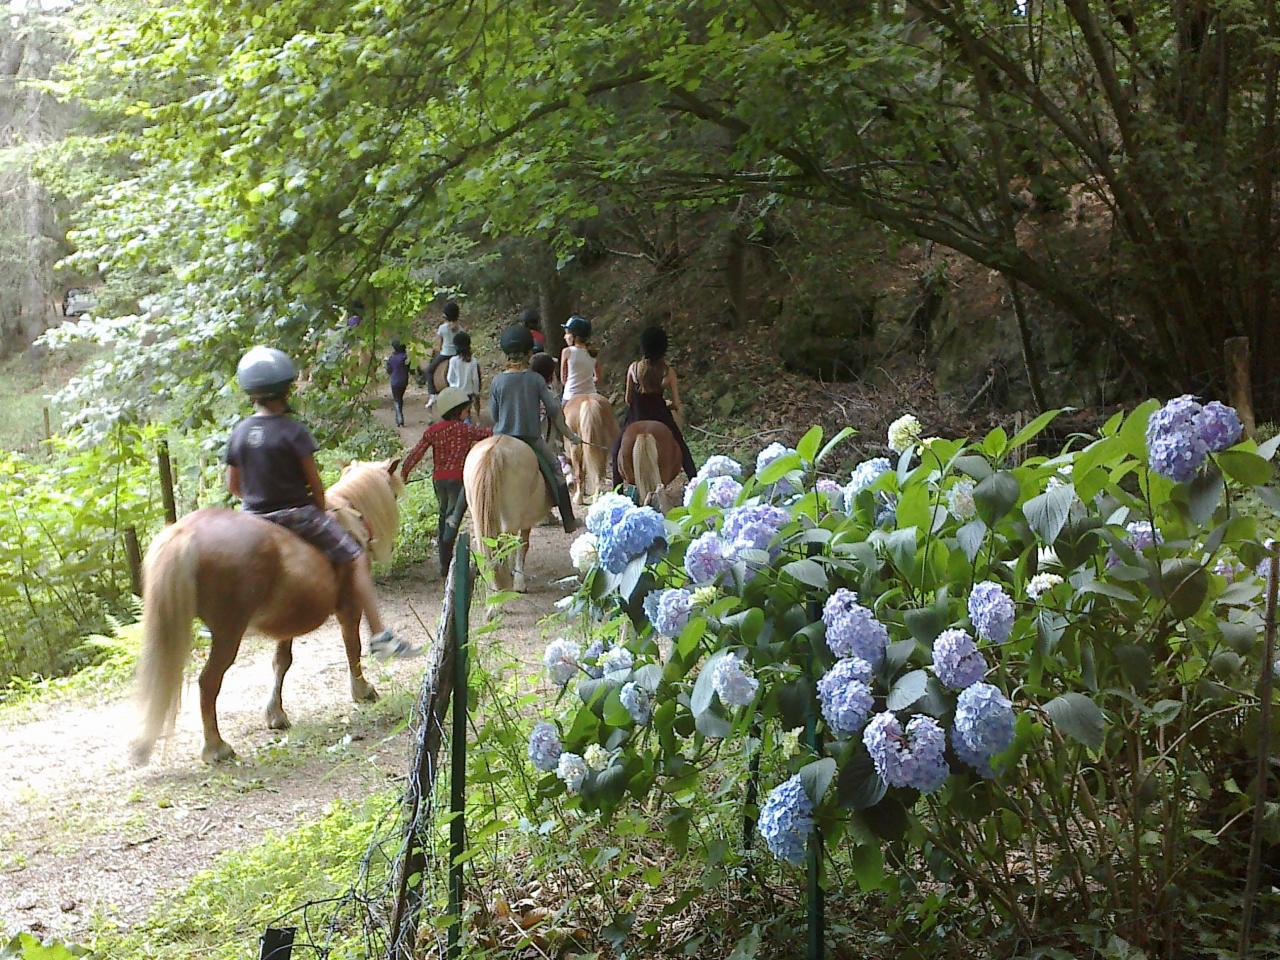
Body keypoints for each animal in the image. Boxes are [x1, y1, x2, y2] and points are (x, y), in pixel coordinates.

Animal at [129, 458, 399, 768]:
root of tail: (185, 534)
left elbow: (281, 662)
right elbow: (352, 647)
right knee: (208, 682)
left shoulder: (289, 621)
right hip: (228, 633)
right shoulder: (349, 606)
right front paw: (362, 690)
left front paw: (276, 715)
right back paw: (216, 748)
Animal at [468, 435, 552, 593]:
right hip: (511, 519)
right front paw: (519, 582)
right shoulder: (525, 522)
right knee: (506, 546)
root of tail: (494, 449)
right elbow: (522, 545)